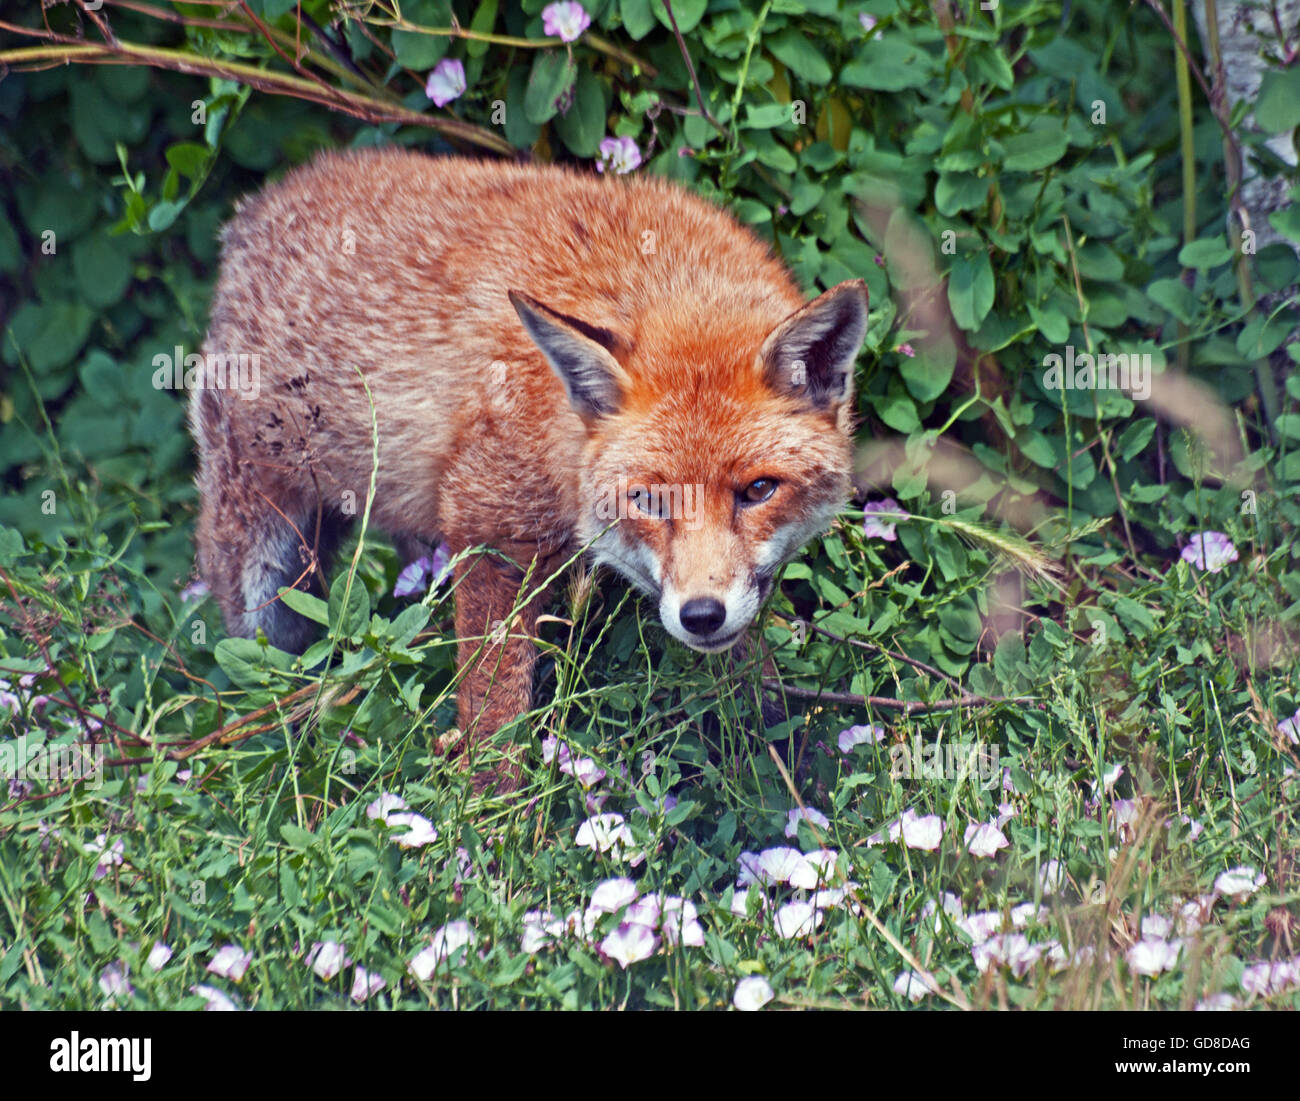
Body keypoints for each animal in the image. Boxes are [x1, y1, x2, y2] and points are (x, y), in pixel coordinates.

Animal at [190, 147, 868, 791]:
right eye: (647, 500)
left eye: (758, 490)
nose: (702, 615)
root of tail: (262, 204)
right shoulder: (488, 528)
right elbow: (494, 715)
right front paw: (484, 815)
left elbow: (757, 695)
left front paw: (784, 776)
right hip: (265, 578)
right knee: (262, 676)